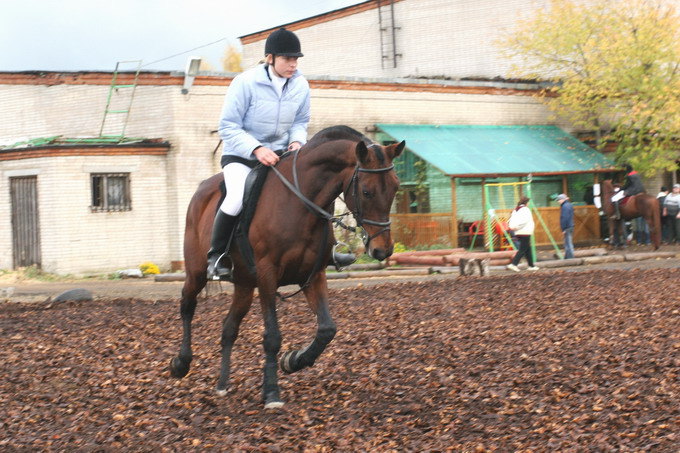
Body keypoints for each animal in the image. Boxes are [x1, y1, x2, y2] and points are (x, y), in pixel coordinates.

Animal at [169, 125, 404, 408]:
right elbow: (272, 336)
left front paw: (293, 361)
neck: (299, 204)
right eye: (367, 191)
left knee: (229, 328)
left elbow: (327, 329)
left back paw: (222, 385)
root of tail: (202, 190)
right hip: (196, 273)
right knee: (187, 305)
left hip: (244, 284)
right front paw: (271, 392)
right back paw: (181, 363)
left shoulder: (313, 275)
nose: (383, 250)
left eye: (395, 188)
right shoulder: (267, 275)